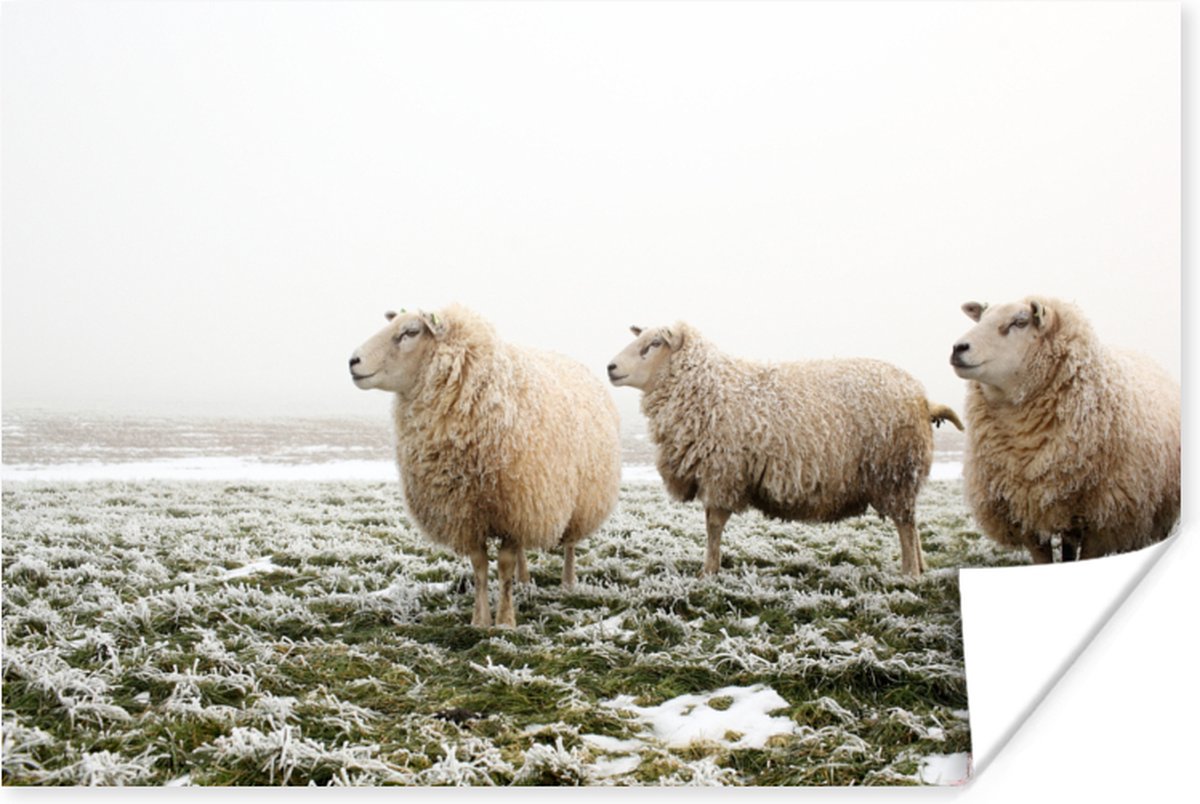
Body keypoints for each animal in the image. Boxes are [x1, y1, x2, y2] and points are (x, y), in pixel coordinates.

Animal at [348, 306, 619, 628]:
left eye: (410, 332)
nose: (353, 361)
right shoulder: (467, 513)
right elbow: (479, 567)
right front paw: (480, 620)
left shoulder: (516, 508)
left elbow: (503, 566)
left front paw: (505, 621)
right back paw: (525, 580)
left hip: (580, 498)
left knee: (570, 544)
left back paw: (567, 582)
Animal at [604, 324, 960, 580]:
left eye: (653, 345)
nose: (610, 367)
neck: (708, 388)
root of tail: (923, 398)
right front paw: (710, 568)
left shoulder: (723, 472)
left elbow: (713, 525)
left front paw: (708, 572)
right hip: (903, 475)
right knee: (912, 521)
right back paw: (921, 566)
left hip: (895, 471)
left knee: (905, 523)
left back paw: (909, 573)